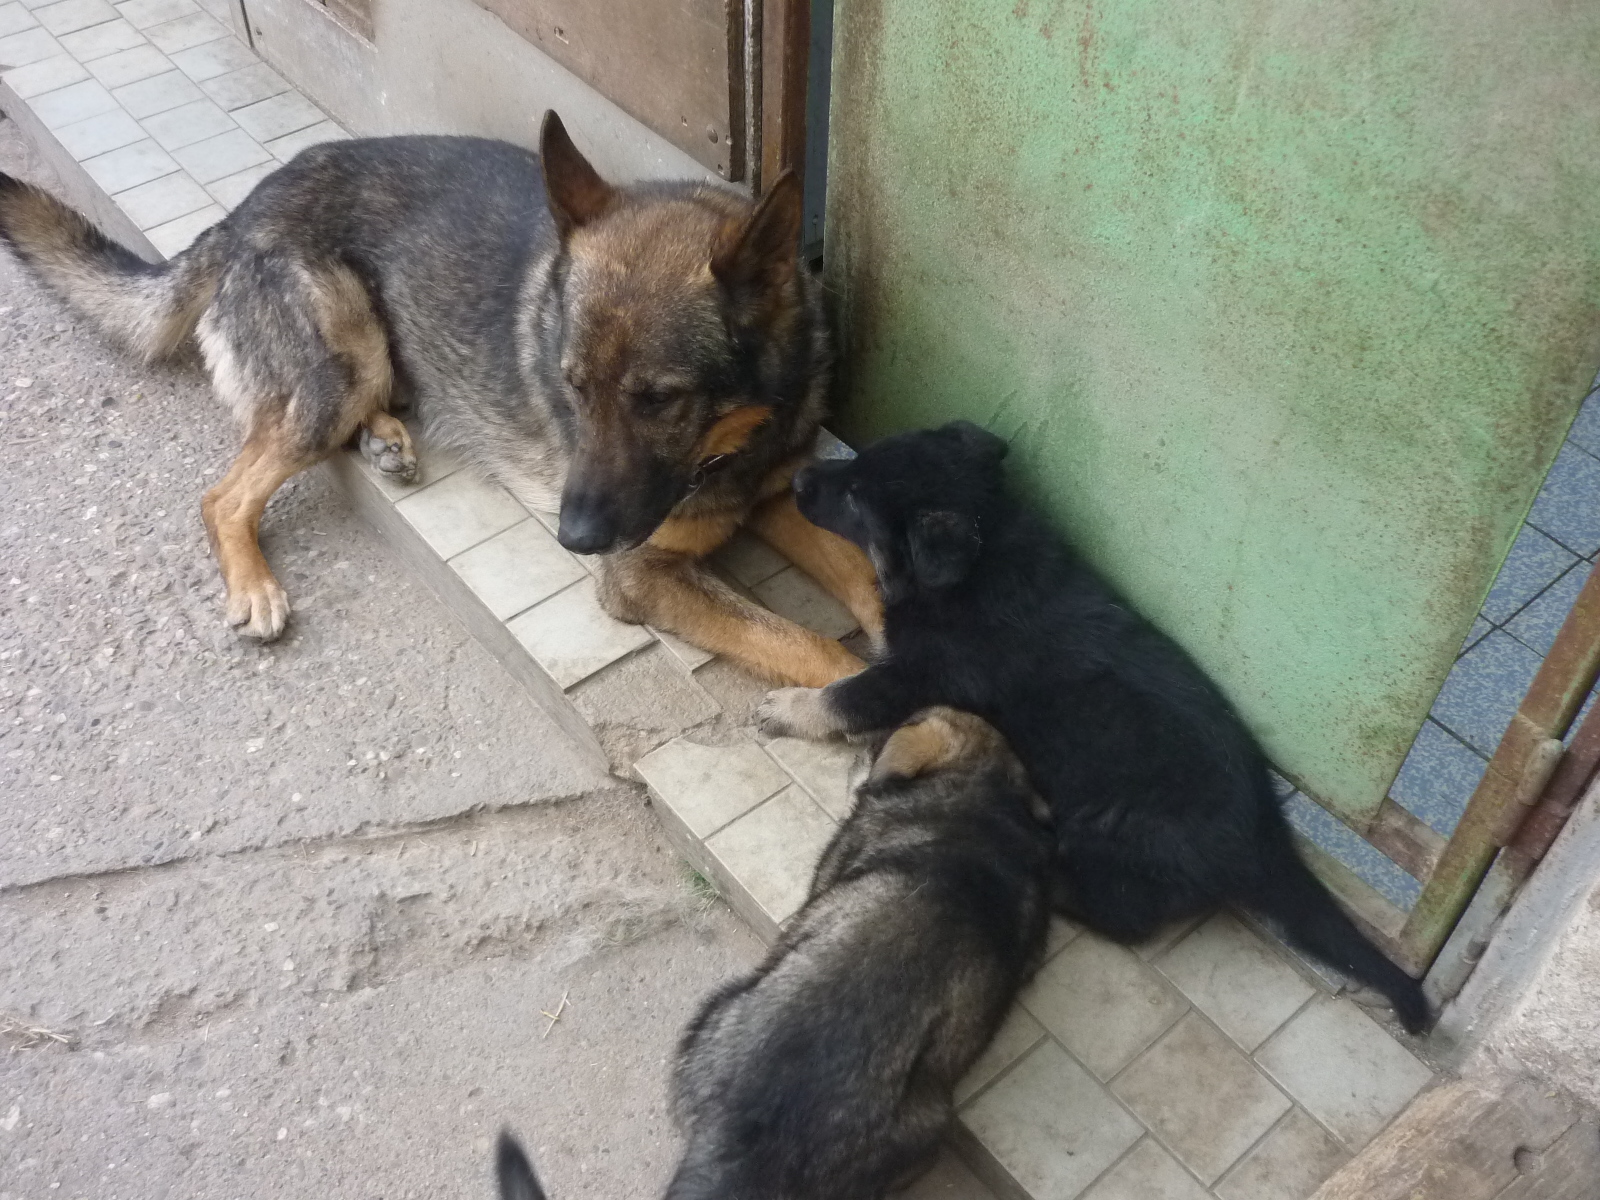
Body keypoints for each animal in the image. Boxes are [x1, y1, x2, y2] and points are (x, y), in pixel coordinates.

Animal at [0, 114, 879, 685]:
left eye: (658, 399)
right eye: (571, 386)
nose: (572, 538)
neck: (737, 440)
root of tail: (241, 210)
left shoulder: (778, 495)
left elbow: (866, 580)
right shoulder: (643, 578)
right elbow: (817, 652)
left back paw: (387, 439)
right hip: (344, 362)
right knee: (224, 494)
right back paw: (255, 584)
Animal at [755, 421, 1432, 1034]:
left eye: (854, 498)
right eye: (856, 462)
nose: (798, 477)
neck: (985, 549)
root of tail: (1265, 838)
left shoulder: (919, 675)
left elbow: (847, 696)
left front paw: (788, 708)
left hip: (1114, 836)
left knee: (1120, 913)